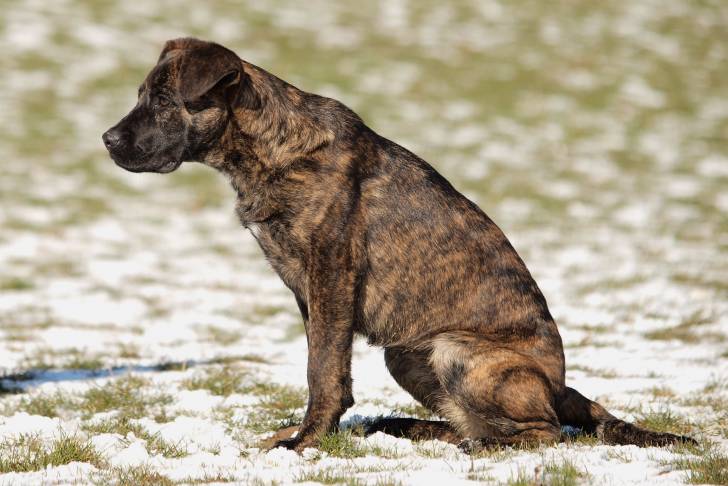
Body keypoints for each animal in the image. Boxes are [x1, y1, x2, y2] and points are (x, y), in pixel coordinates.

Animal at [105, 38, 696, 452]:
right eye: (140, 96)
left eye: (163, 100)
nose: (107, 140)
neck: (273, 149)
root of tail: (560, 384)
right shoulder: (310, 293)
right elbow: (325, 363)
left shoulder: (330, 274)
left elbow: (322, 370)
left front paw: (304, 443)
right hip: (406, 355)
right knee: (473, 424)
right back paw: (414, 430)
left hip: (456, 350)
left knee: (543, 433)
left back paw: (478, 448)